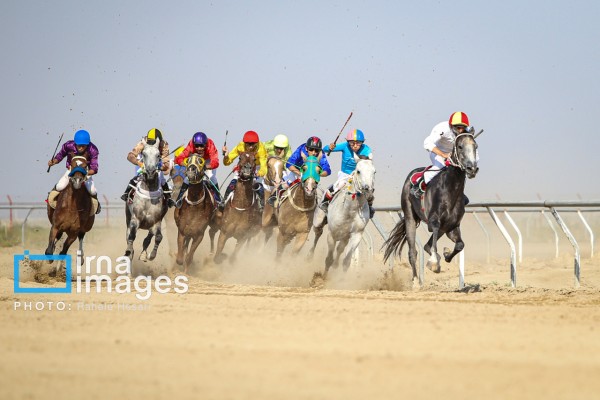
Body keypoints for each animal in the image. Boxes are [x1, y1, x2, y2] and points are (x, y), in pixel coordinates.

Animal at [382, 133, 480, 282]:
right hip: (410, 217)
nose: (472, 169)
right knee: (413, 251)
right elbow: (433, 240)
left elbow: (459, 245)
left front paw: (446, 255)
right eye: (460, 146)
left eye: (475, 146)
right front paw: (434, 262)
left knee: (427, 245)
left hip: (443, 228)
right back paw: (416, 281)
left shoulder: (451, 226)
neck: (450, 191)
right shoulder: (434, 221)